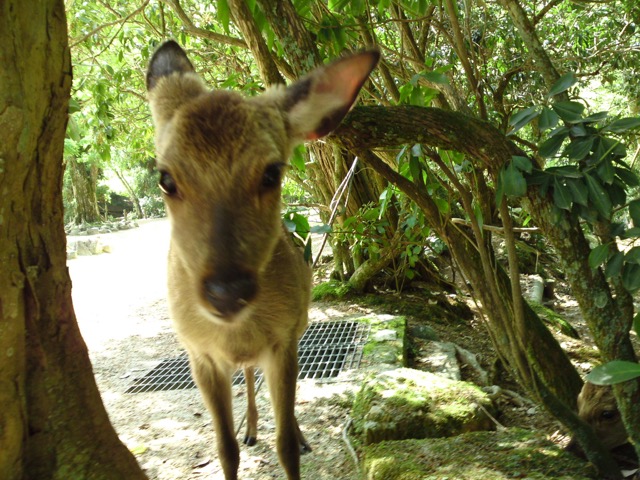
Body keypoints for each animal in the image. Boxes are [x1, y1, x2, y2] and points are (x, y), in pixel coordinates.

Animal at [145, 41, 380, 480]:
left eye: (272, 173)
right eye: (166, 179)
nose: (226, 292)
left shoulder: (283, 340)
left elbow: (284, 441)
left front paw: (295, 442)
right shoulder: (198, 352)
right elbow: (224, 448)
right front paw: (239, 439)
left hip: (300, 324)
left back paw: (291, 433)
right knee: (248, 376)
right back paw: (251, 428)